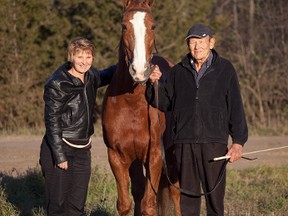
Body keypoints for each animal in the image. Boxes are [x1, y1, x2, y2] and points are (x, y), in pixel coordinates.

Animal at [102, 0, 180, 216]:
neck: (132, 103)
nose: (139, 71)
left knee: (176, 193)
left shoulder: (155, 156)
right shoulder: (117, 156)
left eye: (153, 26)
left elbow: (149, 205)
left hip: (171, 156)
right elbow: (125, 203)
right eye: (123, 26)